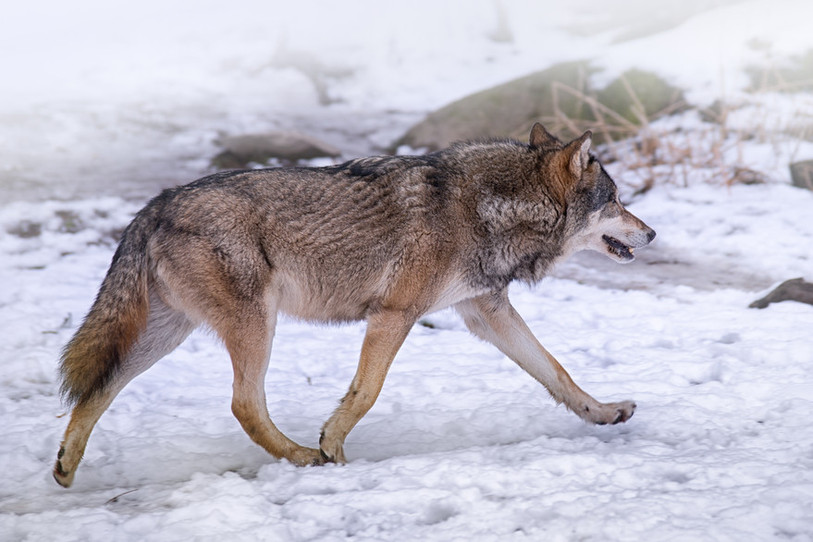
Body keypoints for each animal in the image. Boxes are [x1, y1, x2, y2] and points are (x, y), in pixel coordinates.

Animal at [53, 124, 655, 487]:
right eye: (616, 200)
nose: (651, 232)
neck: (493, 208)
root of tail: (155, 205)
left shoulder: (486, 313)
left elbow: (557, 372)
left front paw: (604, 413)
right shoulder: (395, 315)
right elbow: (366, 393)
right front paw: (333, 448)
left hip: (168, 335)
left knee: (96, 392)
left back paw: (63, 469)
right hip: (256, 323)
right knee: (244, 405)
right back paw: (304, 457)